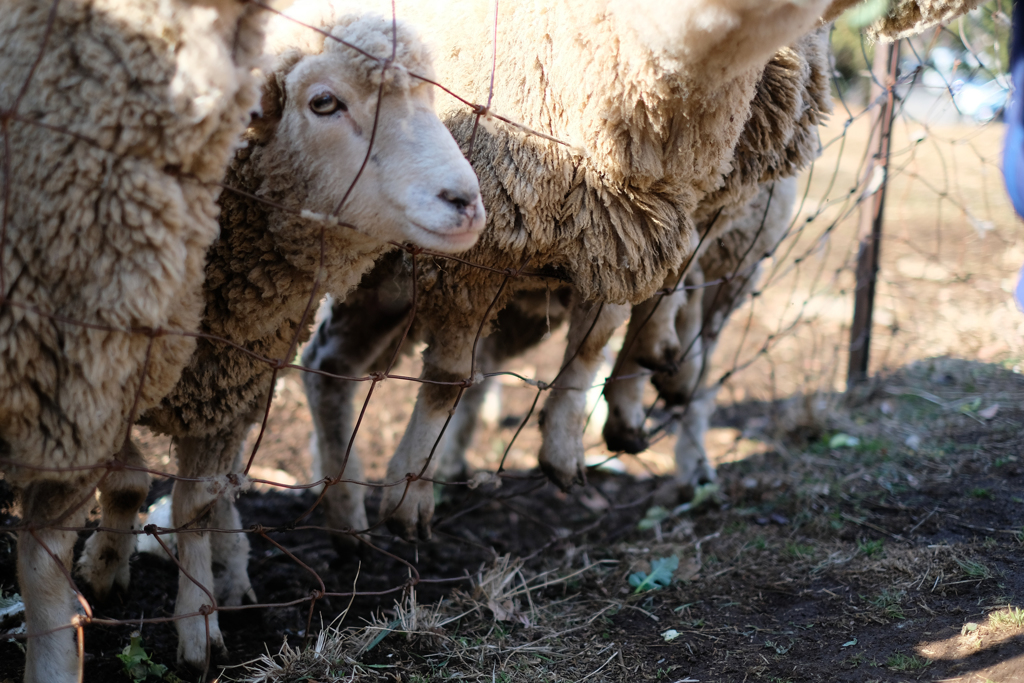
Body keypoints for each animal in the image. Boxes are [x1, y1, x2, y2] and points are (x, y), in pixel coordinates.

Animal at [86, 1, 481, 667]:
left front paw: (198, 623)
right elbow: (126, 479)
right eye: (323, 103)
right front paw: (106, 571)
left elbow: (196, 501)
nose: (466, 201)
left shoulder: (223, 375)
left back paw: (232, 573)